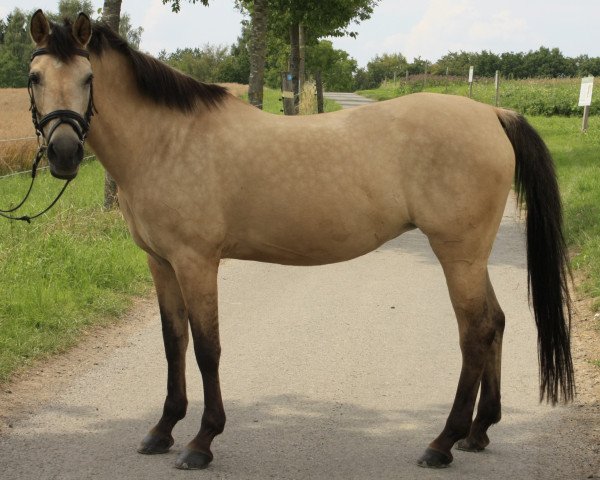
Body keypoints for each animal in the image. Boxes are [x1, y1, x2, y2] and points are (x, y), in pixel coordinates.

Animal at [27, 9, 572, 470]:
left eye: (88, 79)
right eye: (34, 78)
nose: (63, 154)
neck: (167, 141)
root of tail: (492, 116)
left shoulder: (196, 262)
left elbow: (207, 348)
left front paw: (202, 441)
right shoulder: (161, 263)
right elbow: (173, 343)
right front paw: (162, 430)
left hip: (458, 254)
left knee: (475, 332)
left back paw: (442, 443)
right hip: (472, 257)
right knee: (495, 323)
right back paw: (478, 432)